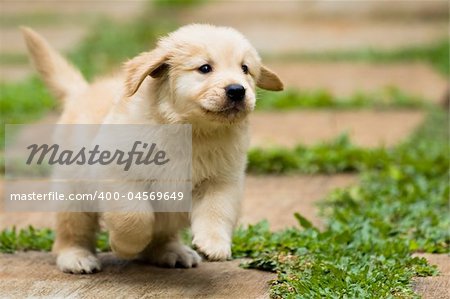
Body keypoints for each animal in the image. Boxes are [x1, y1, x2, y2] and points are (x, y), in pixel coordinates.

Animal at [22, 24, 282, 274]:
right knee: (71, 231)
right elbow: (135, 217)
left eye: (245, 69)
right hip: (73, 192)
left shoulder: (223, 180)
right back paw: (76, 256)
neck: (192, 132)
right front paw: (125, 246)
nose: (237, 90)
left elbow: (218, 209)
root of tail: (82, 92)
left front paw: (214, 243)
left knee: (163, 234)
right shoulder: (118, 174)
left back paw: (172, 251)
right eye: (205, 68)